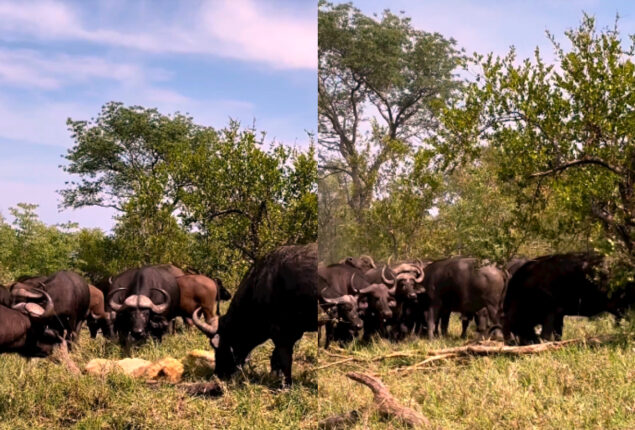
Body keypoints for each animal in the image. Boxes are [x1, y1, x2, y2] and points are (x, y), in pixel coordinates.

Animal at [190, 242, 316, 386]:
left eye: (218, 347)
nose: (218, 374)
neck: (260, 282)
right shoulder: (293, 333)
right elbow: (275, 358)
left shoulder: (282, 333)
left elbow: (284, 359)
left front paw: (286, 385)